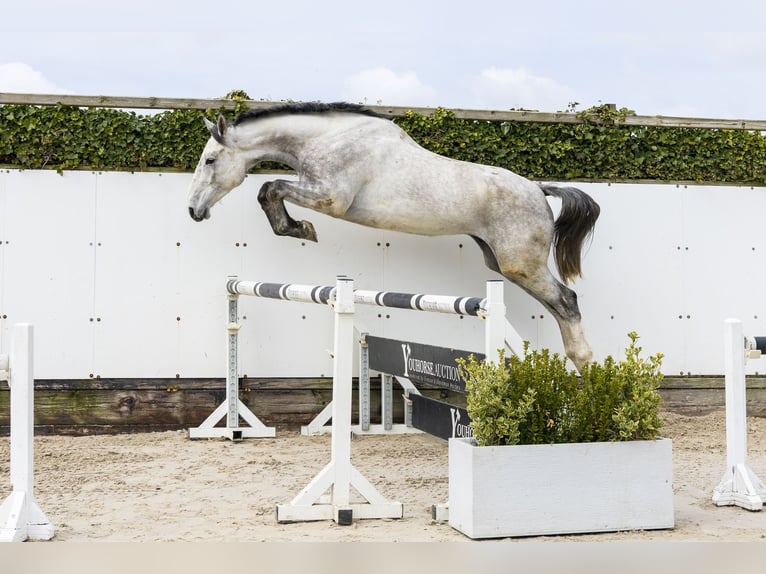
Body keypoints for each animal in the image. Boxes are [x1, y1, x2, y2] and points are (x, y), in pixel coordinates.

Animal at [187, 102, 600, 371]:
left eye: (210, 160)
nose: (193, 210)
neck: (330, 138)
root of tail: (539, 189)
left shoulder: (330, 198)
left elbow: (270, 188)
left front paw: (300, 229)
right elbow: (269, 190)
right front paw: (296, 228)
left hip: (520, 264)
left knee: (567, 301)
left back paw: (586, 373)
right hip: (500, 261)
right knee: (561, 306)